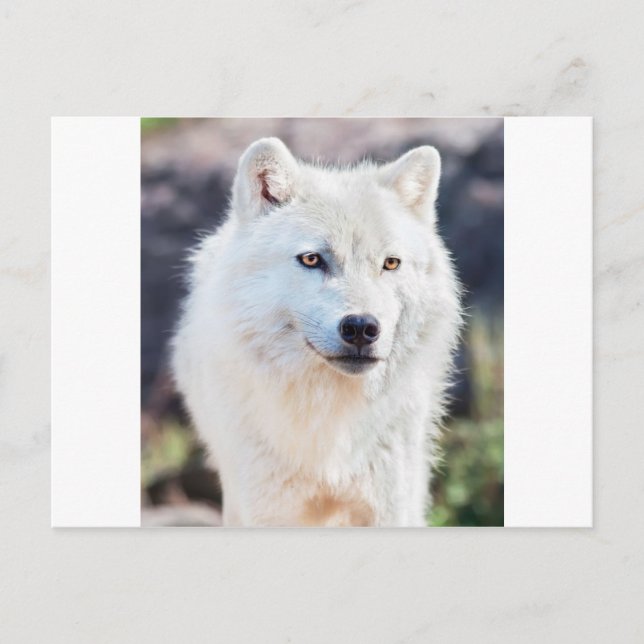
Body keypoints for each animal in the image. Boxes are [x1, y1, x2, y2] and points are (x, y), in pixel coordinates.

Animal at [172, 137, 462, 527]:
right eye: (312, 259)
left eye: (390, 263)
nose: (362, 327)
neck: (328, 419)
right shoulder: (265, 510)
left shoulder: (392, 507)